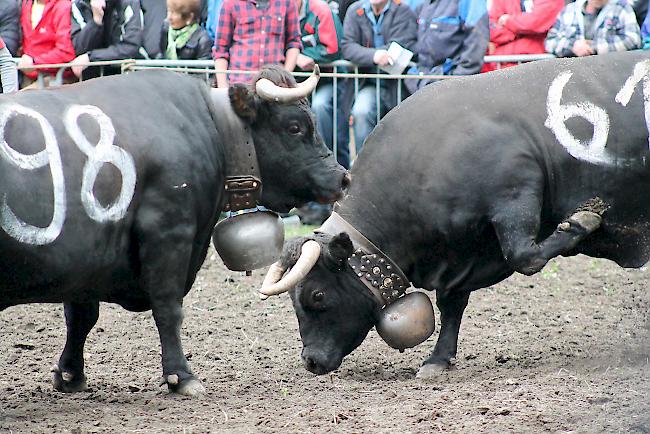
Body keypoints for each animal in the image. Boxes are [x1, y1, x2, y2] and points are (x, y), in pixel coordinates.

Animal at [0, 67, 350, 394]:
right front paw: (181, 376)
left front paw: (70, 374)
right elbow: (168, 309)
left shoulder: (87, 254)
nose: (343, 177)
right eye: (295, 127)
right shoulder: (169, 232)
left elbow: (81, 316)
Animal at [258, 50, 648, 376]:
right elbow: (452, 304)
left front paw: (583, 222)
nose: (310, 361)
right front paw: (438, 359)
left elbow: (526, 256)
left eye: (316, 295)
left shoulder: (516, 191)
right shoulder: (459, 252)